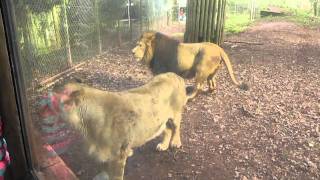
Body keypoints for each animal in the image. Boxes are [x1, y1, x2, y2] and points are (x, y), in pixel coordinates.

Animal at [54, 72, 188, 179]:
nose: (52, 88)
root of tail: (176, 75)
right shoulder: (104, 153)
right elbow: (106, 169)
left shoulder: (118, 155)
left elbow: (116, 175)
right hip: (161, 120)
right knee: (167, 129)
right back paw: (163, 146)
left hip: (176, 114)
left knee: (177, 128)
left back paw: (175, 143)